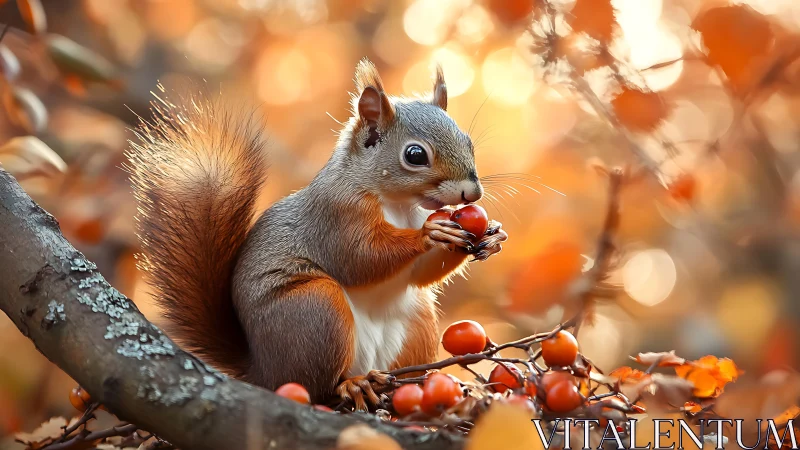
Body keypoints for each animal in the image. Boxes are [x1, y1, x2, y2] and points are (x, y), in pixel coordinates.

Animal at [127, 59, 508, 409]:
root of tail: (262, 372)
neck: (398, 204)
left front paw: (490, 236)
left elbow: (419, 274)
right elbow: (361, 259)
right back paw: (353, 385)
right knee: (320, 386)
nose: (473, 194)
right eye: (415, 155)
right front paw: (430, 233)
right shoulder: (334, 217)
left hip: (416, 322)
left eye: (468, 141)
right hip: (315, 312)